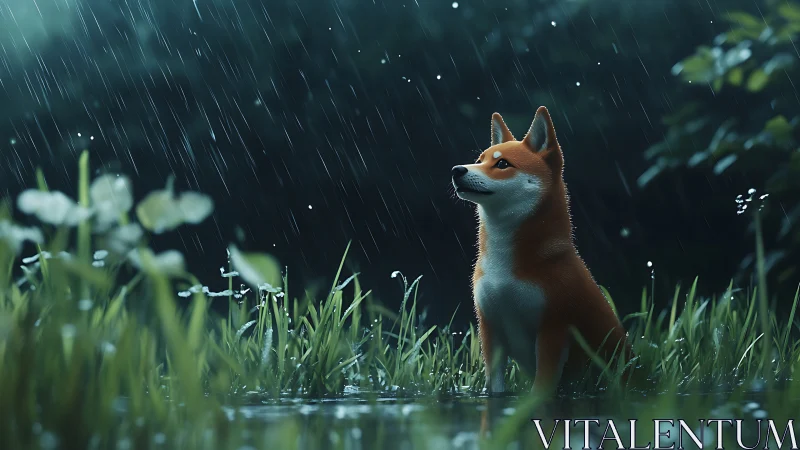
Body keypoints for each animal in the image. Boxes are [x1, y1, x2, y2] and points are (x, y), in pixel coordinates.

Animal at [451, 106, 635, 397]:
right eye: (479, 160)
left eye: (502, 164)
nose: (456, 169)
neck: (505, 267)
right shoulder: (490, 328)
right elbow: (495, 388)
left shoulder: (552, 329)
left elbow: (541, 390)